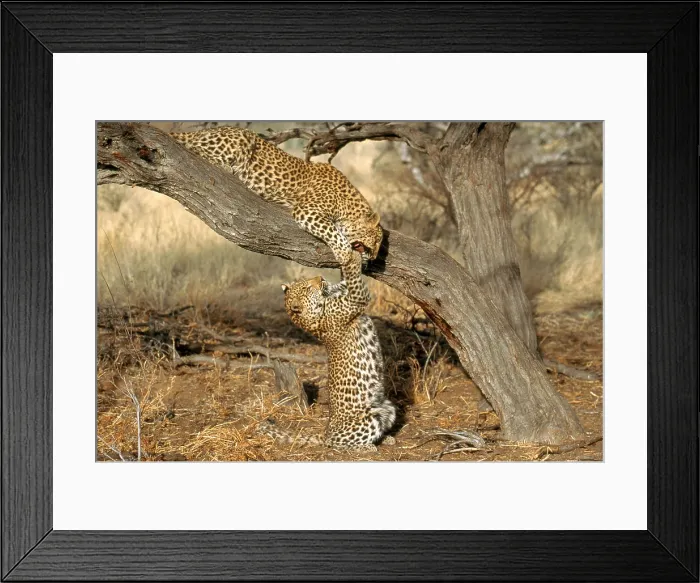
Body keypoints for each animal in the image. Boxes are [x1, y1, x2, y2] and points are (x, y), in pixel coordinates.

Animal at [169, 126, 384, 267]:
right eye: (376, 241)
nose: (374, 258)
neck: (348, 205)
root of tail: (201, 131)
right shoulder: (307, 210)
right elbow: (332, 231)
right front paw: (343, 253)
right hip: (242, 138)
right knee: (197, 149)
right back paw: (228, 168)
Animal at [260, 252, 396, 450]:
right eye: (308, 287)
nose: (320, 277)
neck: (311, 319)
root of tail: (325, 433)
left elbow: (345, 279)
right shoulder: (356, 298)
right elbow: (352, 275)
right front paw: (351, 255)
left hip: (387, 407)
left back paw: (388, 439)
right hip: (369, 418)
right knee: (338, 443)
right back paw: (367, 447)